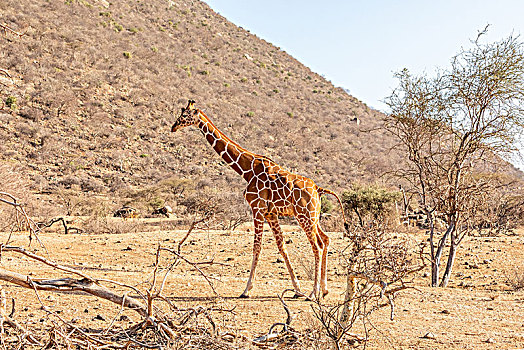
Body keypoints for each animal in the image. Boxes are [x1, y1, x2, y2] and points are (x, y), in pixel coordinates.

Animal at [170, 99, 346, 298]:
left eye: (185, 115)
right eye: (181, 113)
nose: (173, 127)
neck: (247, 170)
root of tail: (318, 188)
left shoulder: (257, 209)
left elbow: (257, 247)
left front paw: (247, 289)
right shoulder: (271, 213)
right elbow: (281, 246)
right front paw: (297, 289)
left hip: (304, 216)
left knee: (317, 246)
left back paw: (313, 292)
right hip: (313, 217)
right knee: (325, 239)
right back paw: (323, 290)